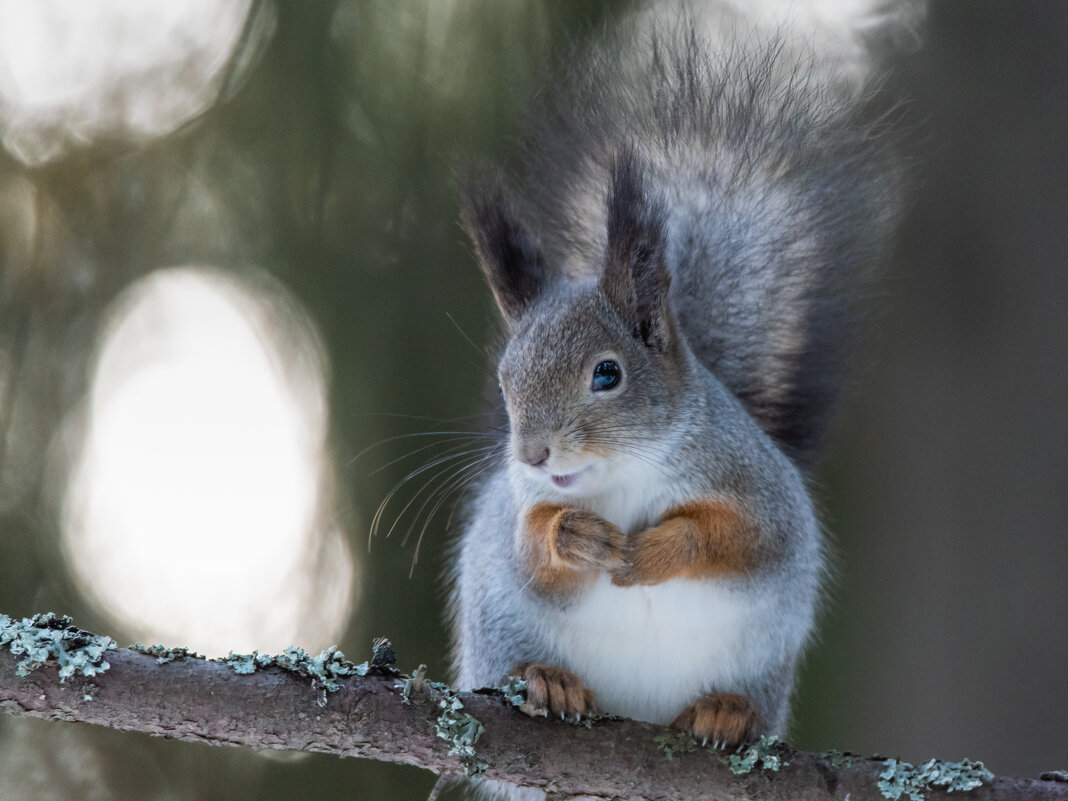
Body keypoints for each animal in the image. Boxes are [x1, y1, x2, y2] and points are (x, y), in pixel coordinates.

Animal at [446, 0, 905, 756]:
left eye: (607, 374)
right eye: (506, 380)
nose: (534, 455)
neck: (628, 470)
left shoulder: (759, 490)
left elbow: (741, 538)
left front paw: (660, 548)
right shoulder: (518, 510)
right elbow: (531, 549)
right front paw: (573, 536)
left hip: (762, 661)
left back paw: (726, 711)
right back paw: (547, 679)